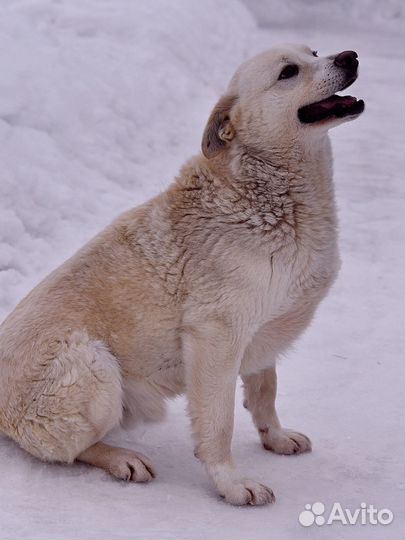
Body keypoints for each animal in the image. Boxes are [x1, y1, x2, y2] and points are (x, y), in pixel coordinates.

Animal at [0, 44, 362, 504]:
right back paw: (122, 459)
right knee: (69, 449)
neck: (266, 191)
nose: (350, 56)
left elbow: (266, 392)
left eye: (314, 52)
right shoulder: (216, 336)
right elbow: (219, 424)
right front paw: (231, 484)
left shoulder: (262, 330)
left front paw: (276, 438)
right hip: (92, 364)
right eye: (288, 73)